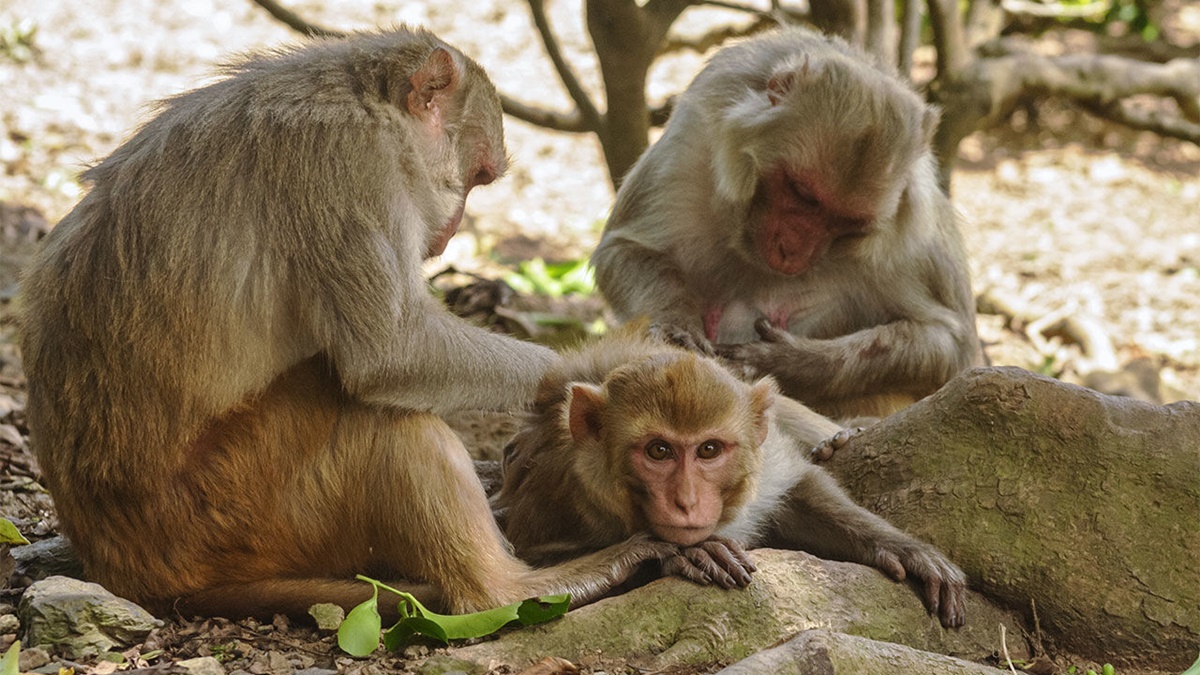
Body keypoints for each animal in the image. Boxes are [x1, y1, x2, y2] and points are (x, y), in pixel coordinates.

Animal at [18, 30, 681, 619]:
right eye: (476, 176)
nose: (451, 232)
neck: (360, 99)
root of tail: (129, 569)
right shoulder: (349, 163)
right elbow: (391, 352)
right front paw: (603, 367)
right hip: (232, 509)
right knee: (379, 416)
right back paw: (508, 589)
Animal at [492, 329, 969, 629]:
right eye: (658, 451)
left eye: (708, 450)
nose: (686, 501)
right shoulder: (560, 490)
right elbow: (530, 580)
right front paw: (687, 553)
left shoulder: (764, 459)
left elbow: (796, 486)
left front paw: (903, 548)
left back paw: (840, 437)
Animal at [592, 28, 984, 420]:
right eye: (802, 192)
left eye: (849, 222)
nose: (792, 252)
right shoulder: (692, 142)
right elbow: (623, 250)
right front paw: (677, 322)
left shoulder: (909, 235)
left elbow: (949, 344)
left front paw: (791, 363)